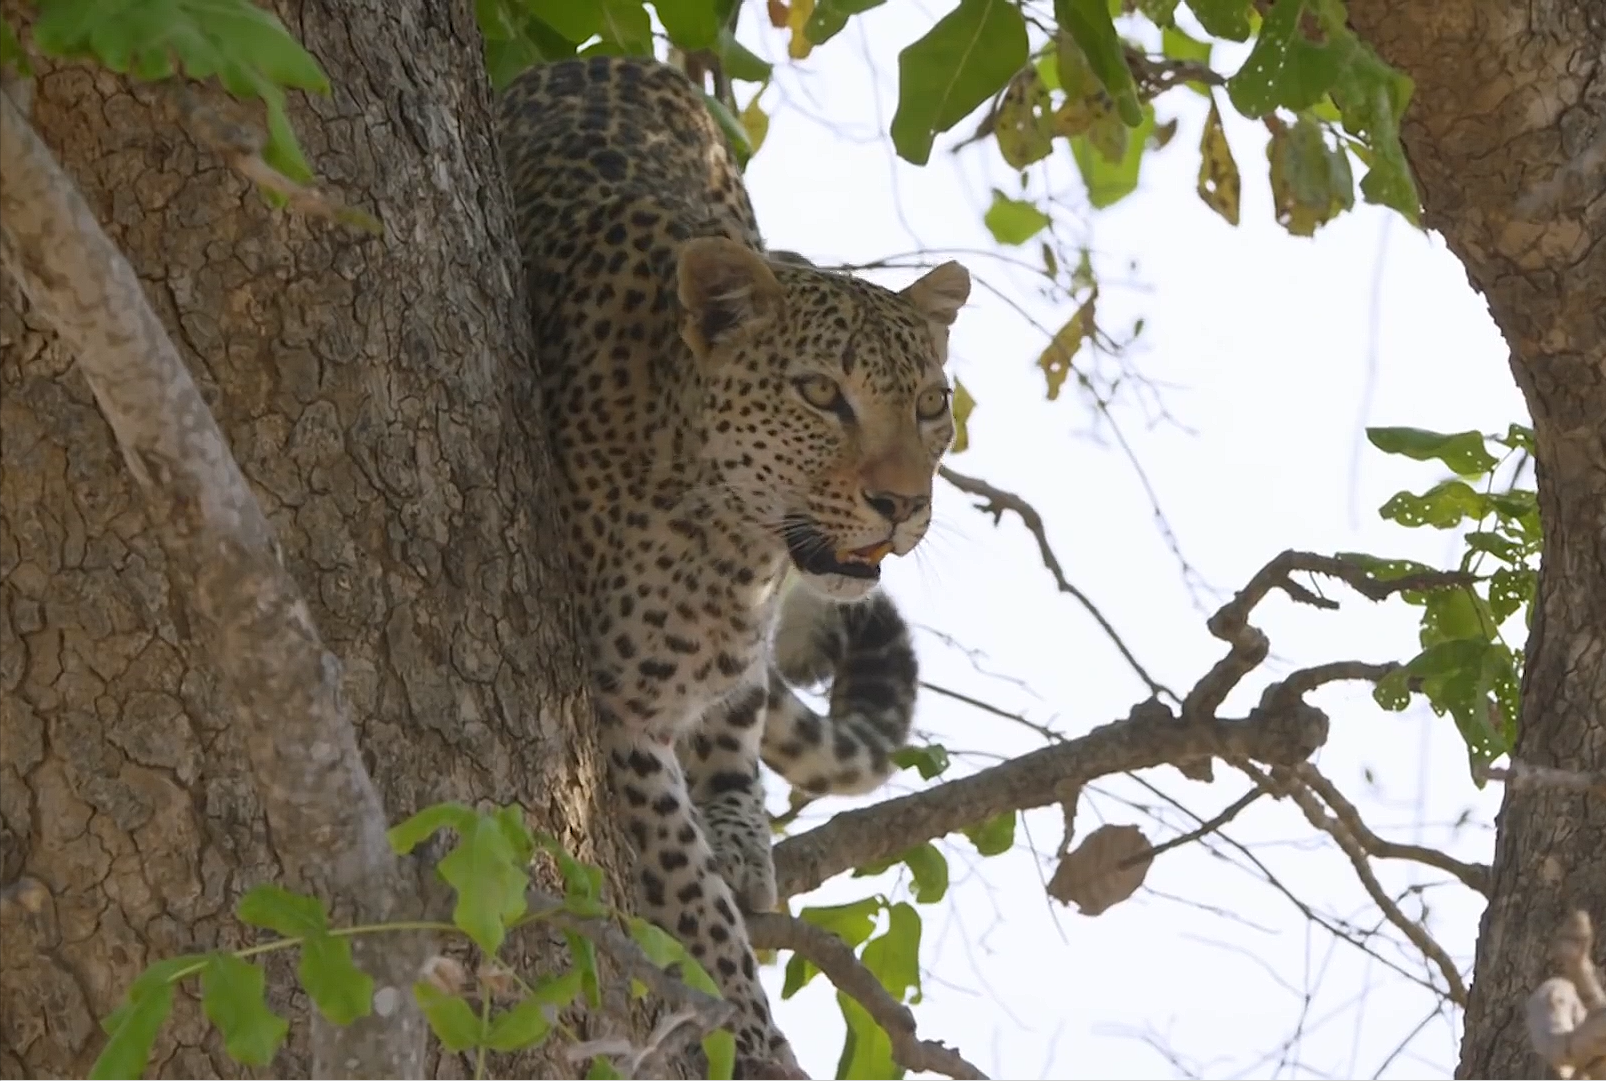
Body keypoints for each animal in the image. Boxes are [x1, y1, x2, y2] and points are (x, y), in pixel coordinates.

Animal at [494, 59, 963, 1072]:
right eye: (821, 394)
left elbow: (735, 725)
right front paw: (749, 1034)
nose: (903, 503)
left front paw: (738, 837)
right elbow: (693, 900)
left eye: (931, 404)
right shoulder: (617, 715)